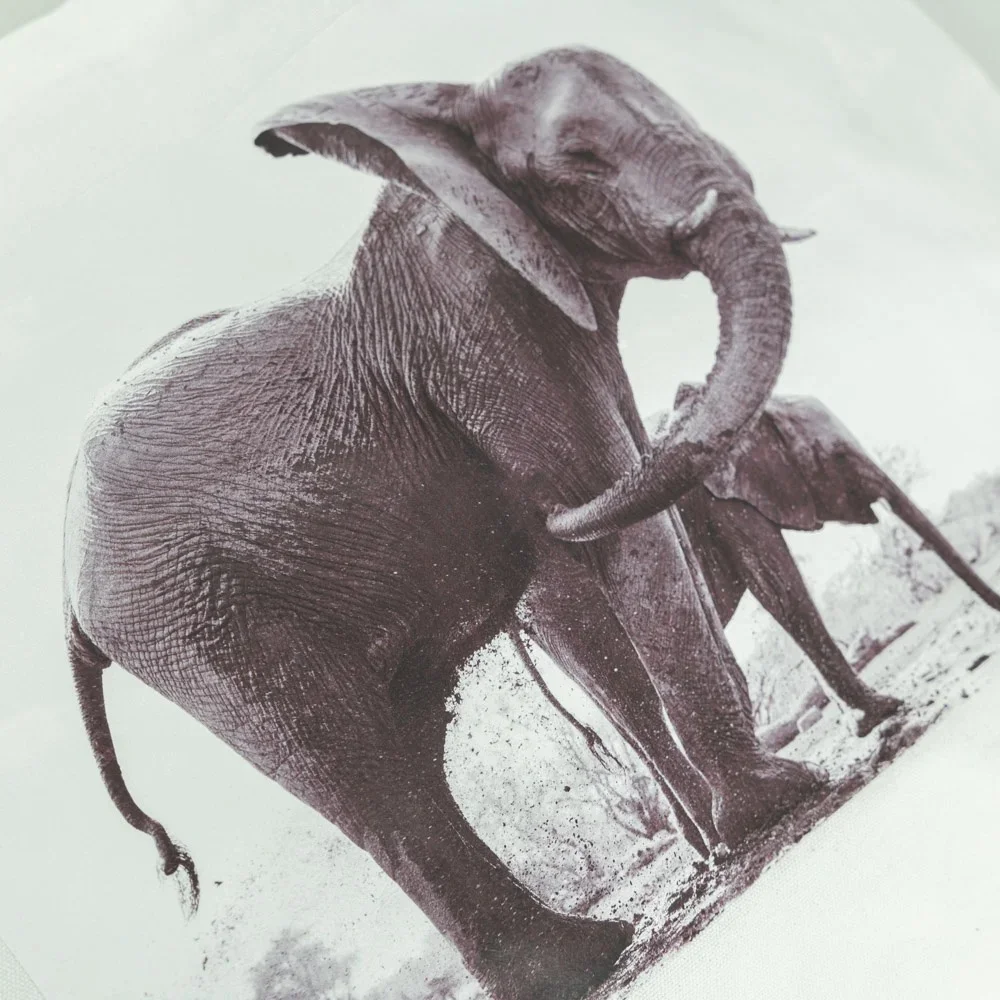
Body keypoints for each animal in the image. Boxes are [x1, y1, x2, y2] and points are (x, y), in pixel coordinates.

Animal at [63, 47, 825, 1000]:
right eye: (579, 159)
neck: (453, 153)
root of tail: (66, 600)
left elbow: (601, 553)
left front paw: (728, 835)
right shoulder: (479, 329)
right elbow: (615, 517)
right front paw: (783, 800)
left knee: (409, 753)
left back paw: (591, 947)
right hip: (192, 623)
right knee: (363, 776)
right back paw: (583, 962)